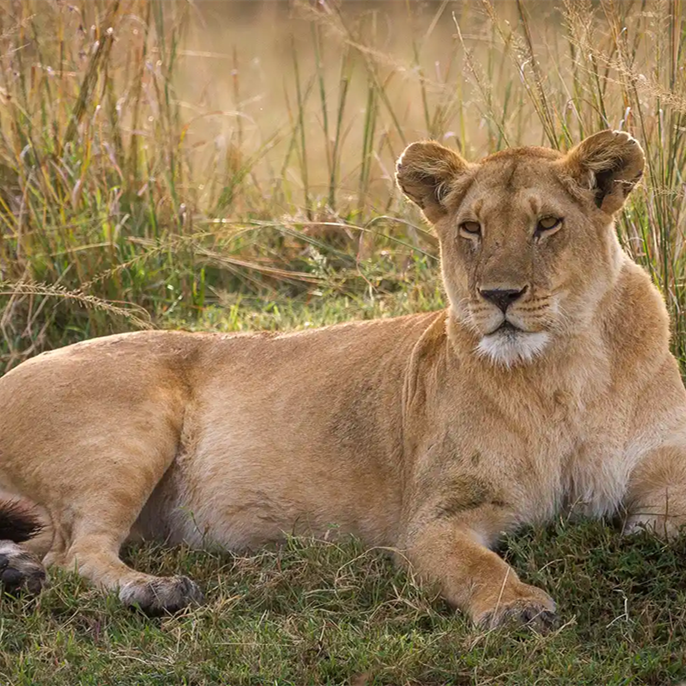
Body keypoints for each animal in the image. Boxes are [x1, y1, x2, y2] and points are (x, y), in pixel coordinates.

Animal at [0, 130, 684, 629]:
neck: (563, 375)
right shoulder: (432, 520)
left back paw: (20, 573)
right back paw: (156, 590)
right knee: (76, 554)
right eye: (472, 228)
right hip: (130, 437)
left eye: (547, 225)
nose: (498, 295)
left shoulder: (665, 484)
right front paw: (516, 607)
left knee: (45, 548)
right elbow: (477, 568)